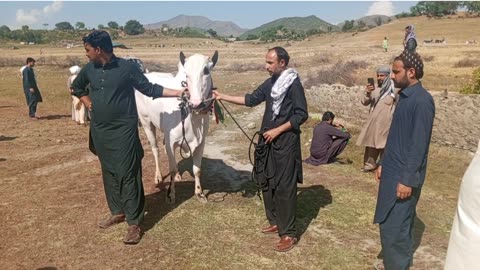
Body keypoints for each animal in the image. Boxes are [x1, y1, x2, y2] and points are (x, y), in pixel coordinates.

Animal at [134, 51, 218, 202]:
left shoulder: (201, 143)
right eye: (186, 74)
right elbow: (172, 168)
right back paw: (158, 176)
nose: (196, 103)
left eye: (206, 70)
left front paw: (199, 193)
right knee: (156, 149)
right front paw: (171, 194)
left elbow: (197, 170)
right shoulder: (171, 141)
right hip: (146, 123)